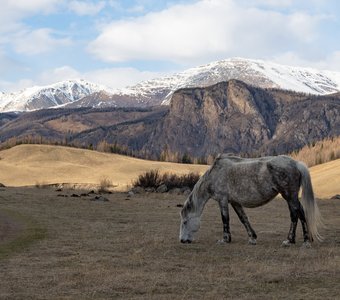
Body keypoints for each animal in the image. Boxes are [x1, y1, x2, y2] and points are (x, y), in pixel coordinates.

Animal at [179, 154, 322, 247]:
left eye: (185, 222)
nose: (182, 240)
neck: (215, 174)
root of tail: (296, 163)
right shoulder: (235, 202)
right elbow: (243, 218)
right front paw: (252, 238)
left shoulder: (222, 200)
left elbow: (225, 219)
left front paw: (225, 239)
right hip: (290, 197)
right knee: (296, 214)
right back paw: (294, 240)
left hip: (289, 196)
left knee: (298, 214)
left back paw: (300, 241)